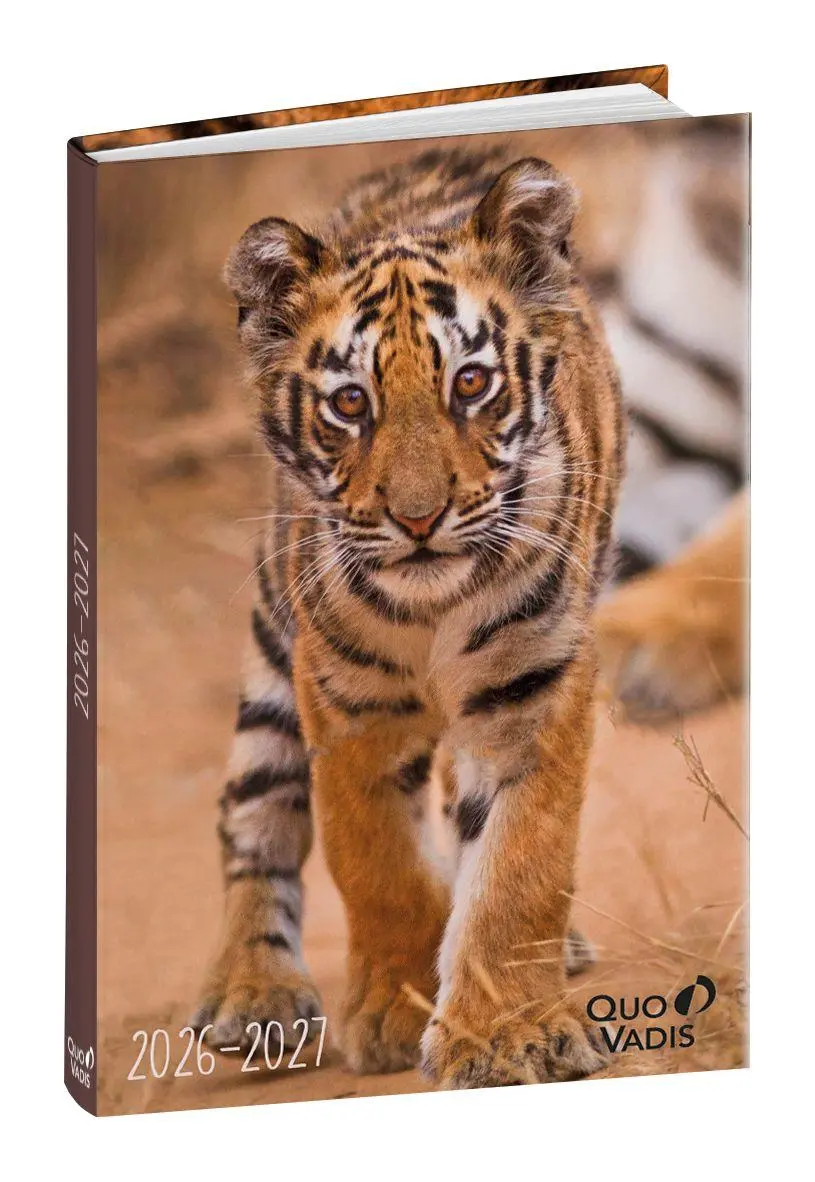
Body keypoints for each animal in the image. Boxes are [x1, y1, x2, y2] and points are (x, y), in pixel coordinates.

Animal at [190, 145, 625, 1088]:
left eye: (471, 384)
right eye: (350, 403)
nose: (419, 518)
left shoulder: (537, 690)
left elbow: (522, 867)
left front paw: (502, 1035)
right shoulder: (347, 706)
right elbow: (375, 862)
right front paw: (395, 1010)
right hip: (275, 643)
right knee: (253, 812)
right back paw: (252, 992)